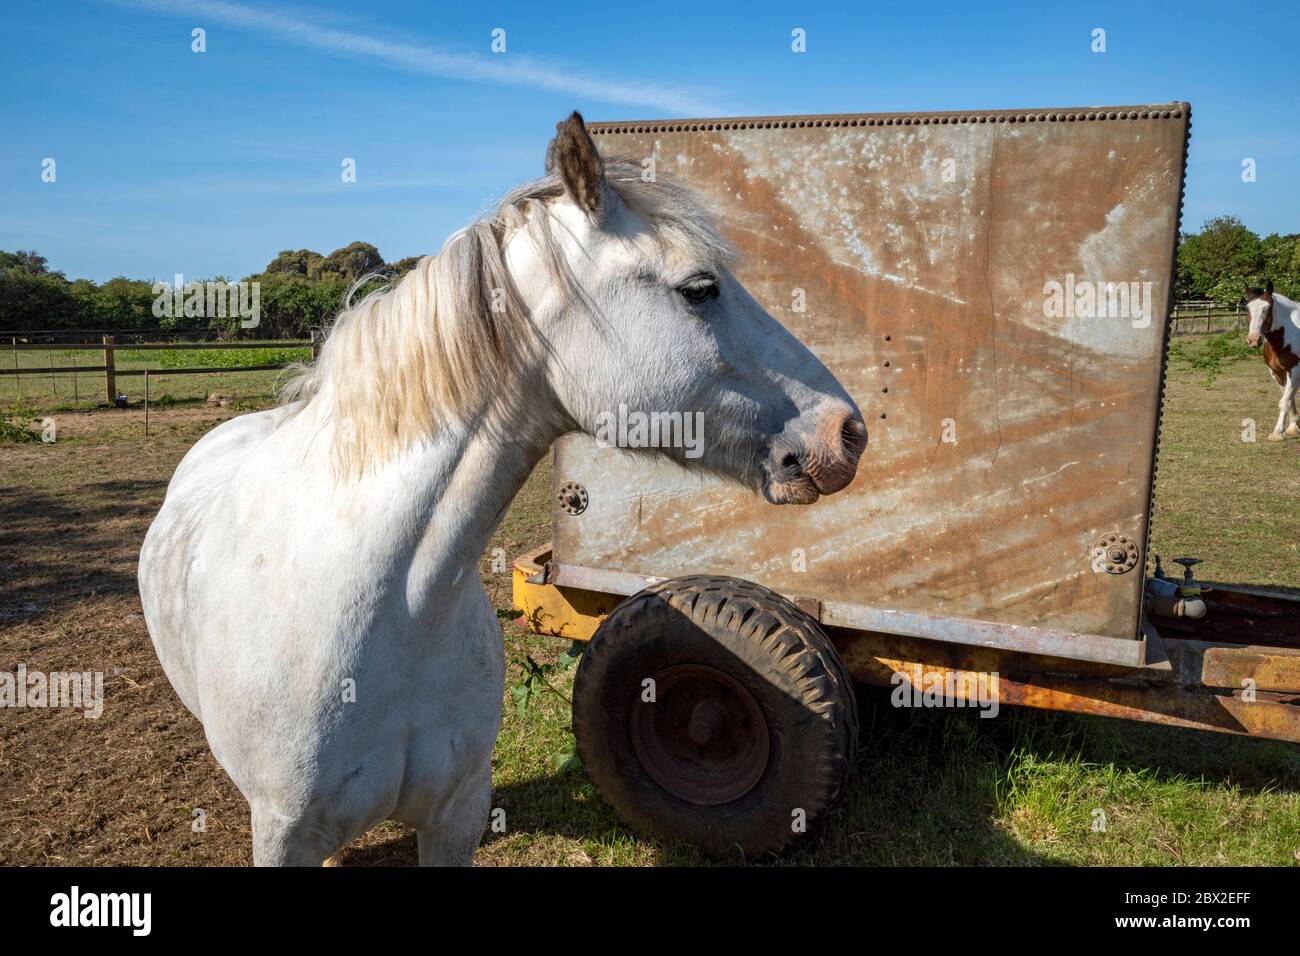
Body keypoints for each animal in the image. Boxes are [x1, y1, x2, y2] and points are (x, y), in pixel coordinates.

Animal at [1245, 281, 1300, 440]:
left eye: (1267, 308)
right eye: (1247, 308)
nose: (1254, 340)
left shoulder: (1295, 369)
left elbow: (1285, 401)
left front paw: (1277, 433)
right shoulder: (1277, 372)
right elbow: (1289, 398)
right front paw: (1293, 427)